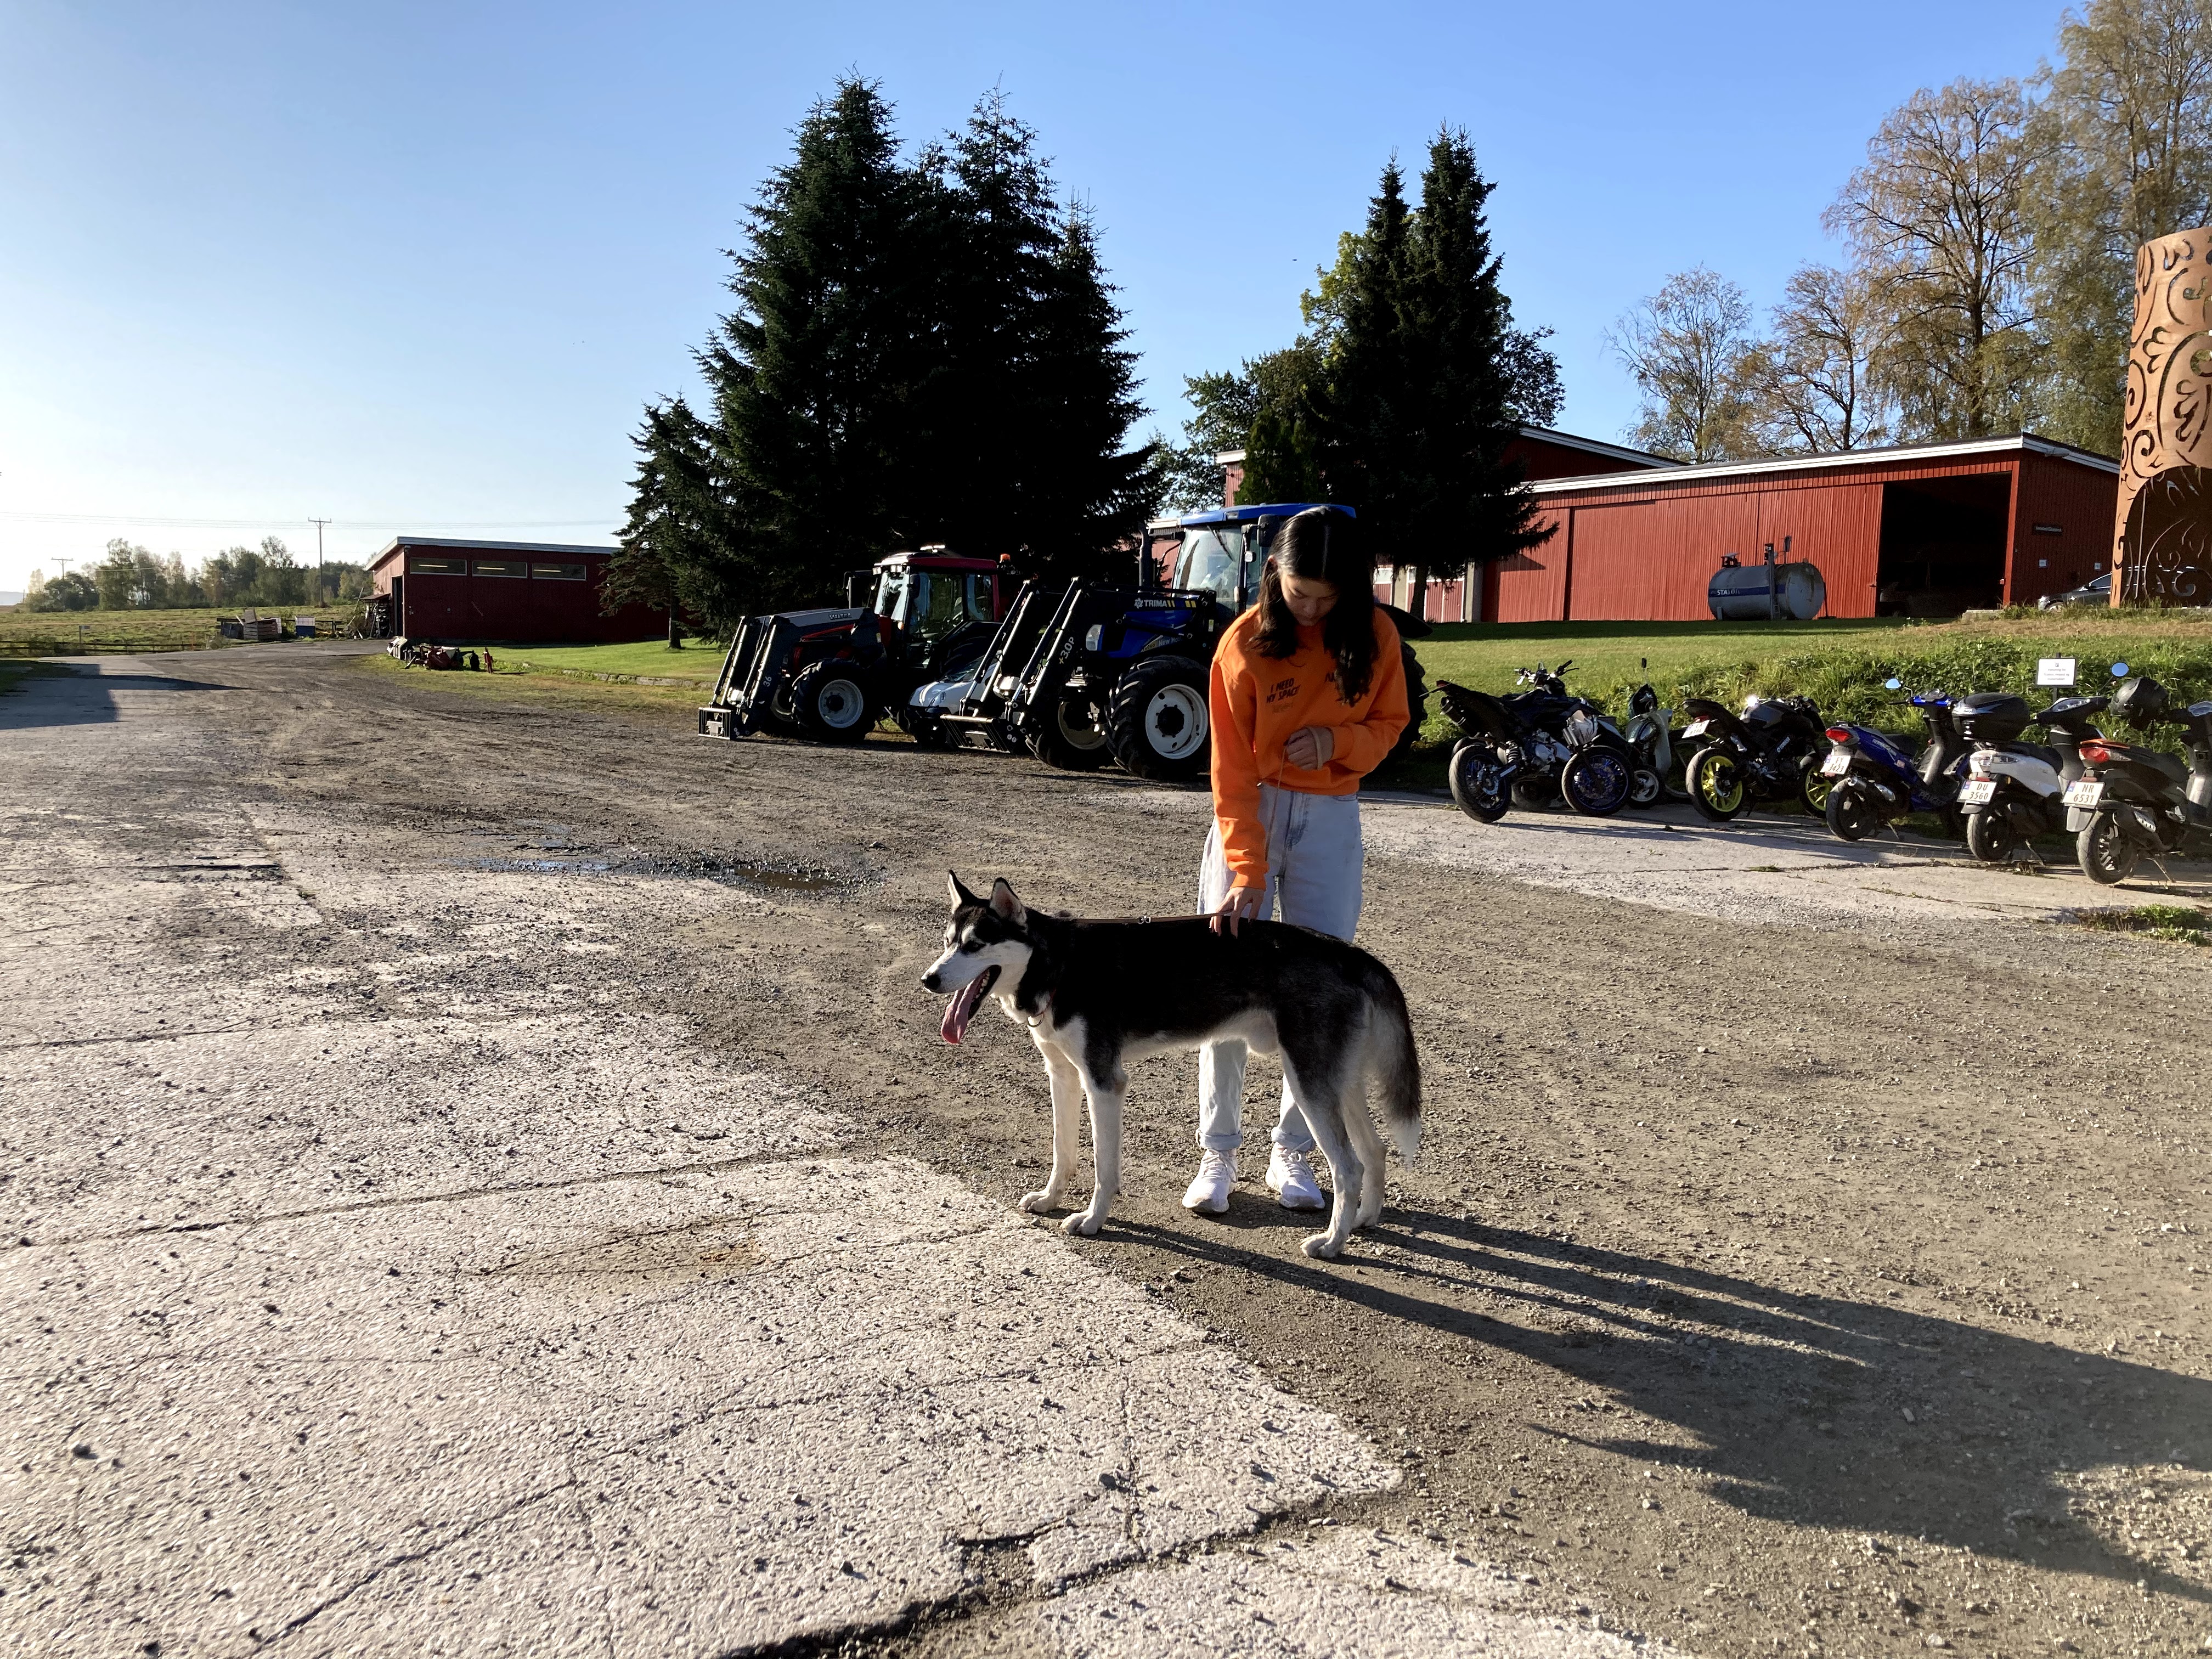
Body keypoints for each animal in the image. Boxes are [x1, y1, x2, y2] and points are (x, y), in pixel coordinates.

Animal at [920, 873, 1421, 1259]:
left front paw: (1092, 1220)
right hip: (1337, 1085)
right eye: (947, 943)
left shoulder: (1104, 1083)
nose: (929, 979)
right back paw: (1364, 1219)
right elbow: (1064, 1153)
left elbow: (1103, 1167)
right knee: (1375, 1151)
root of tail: (1352, 954)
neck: (1059, 963)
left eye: (974, 946)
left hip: (1308, 1085)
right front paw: (1050, 1199)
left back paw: (1332, 1243)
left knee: (1349, 1167)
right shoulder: (1063, 1077)